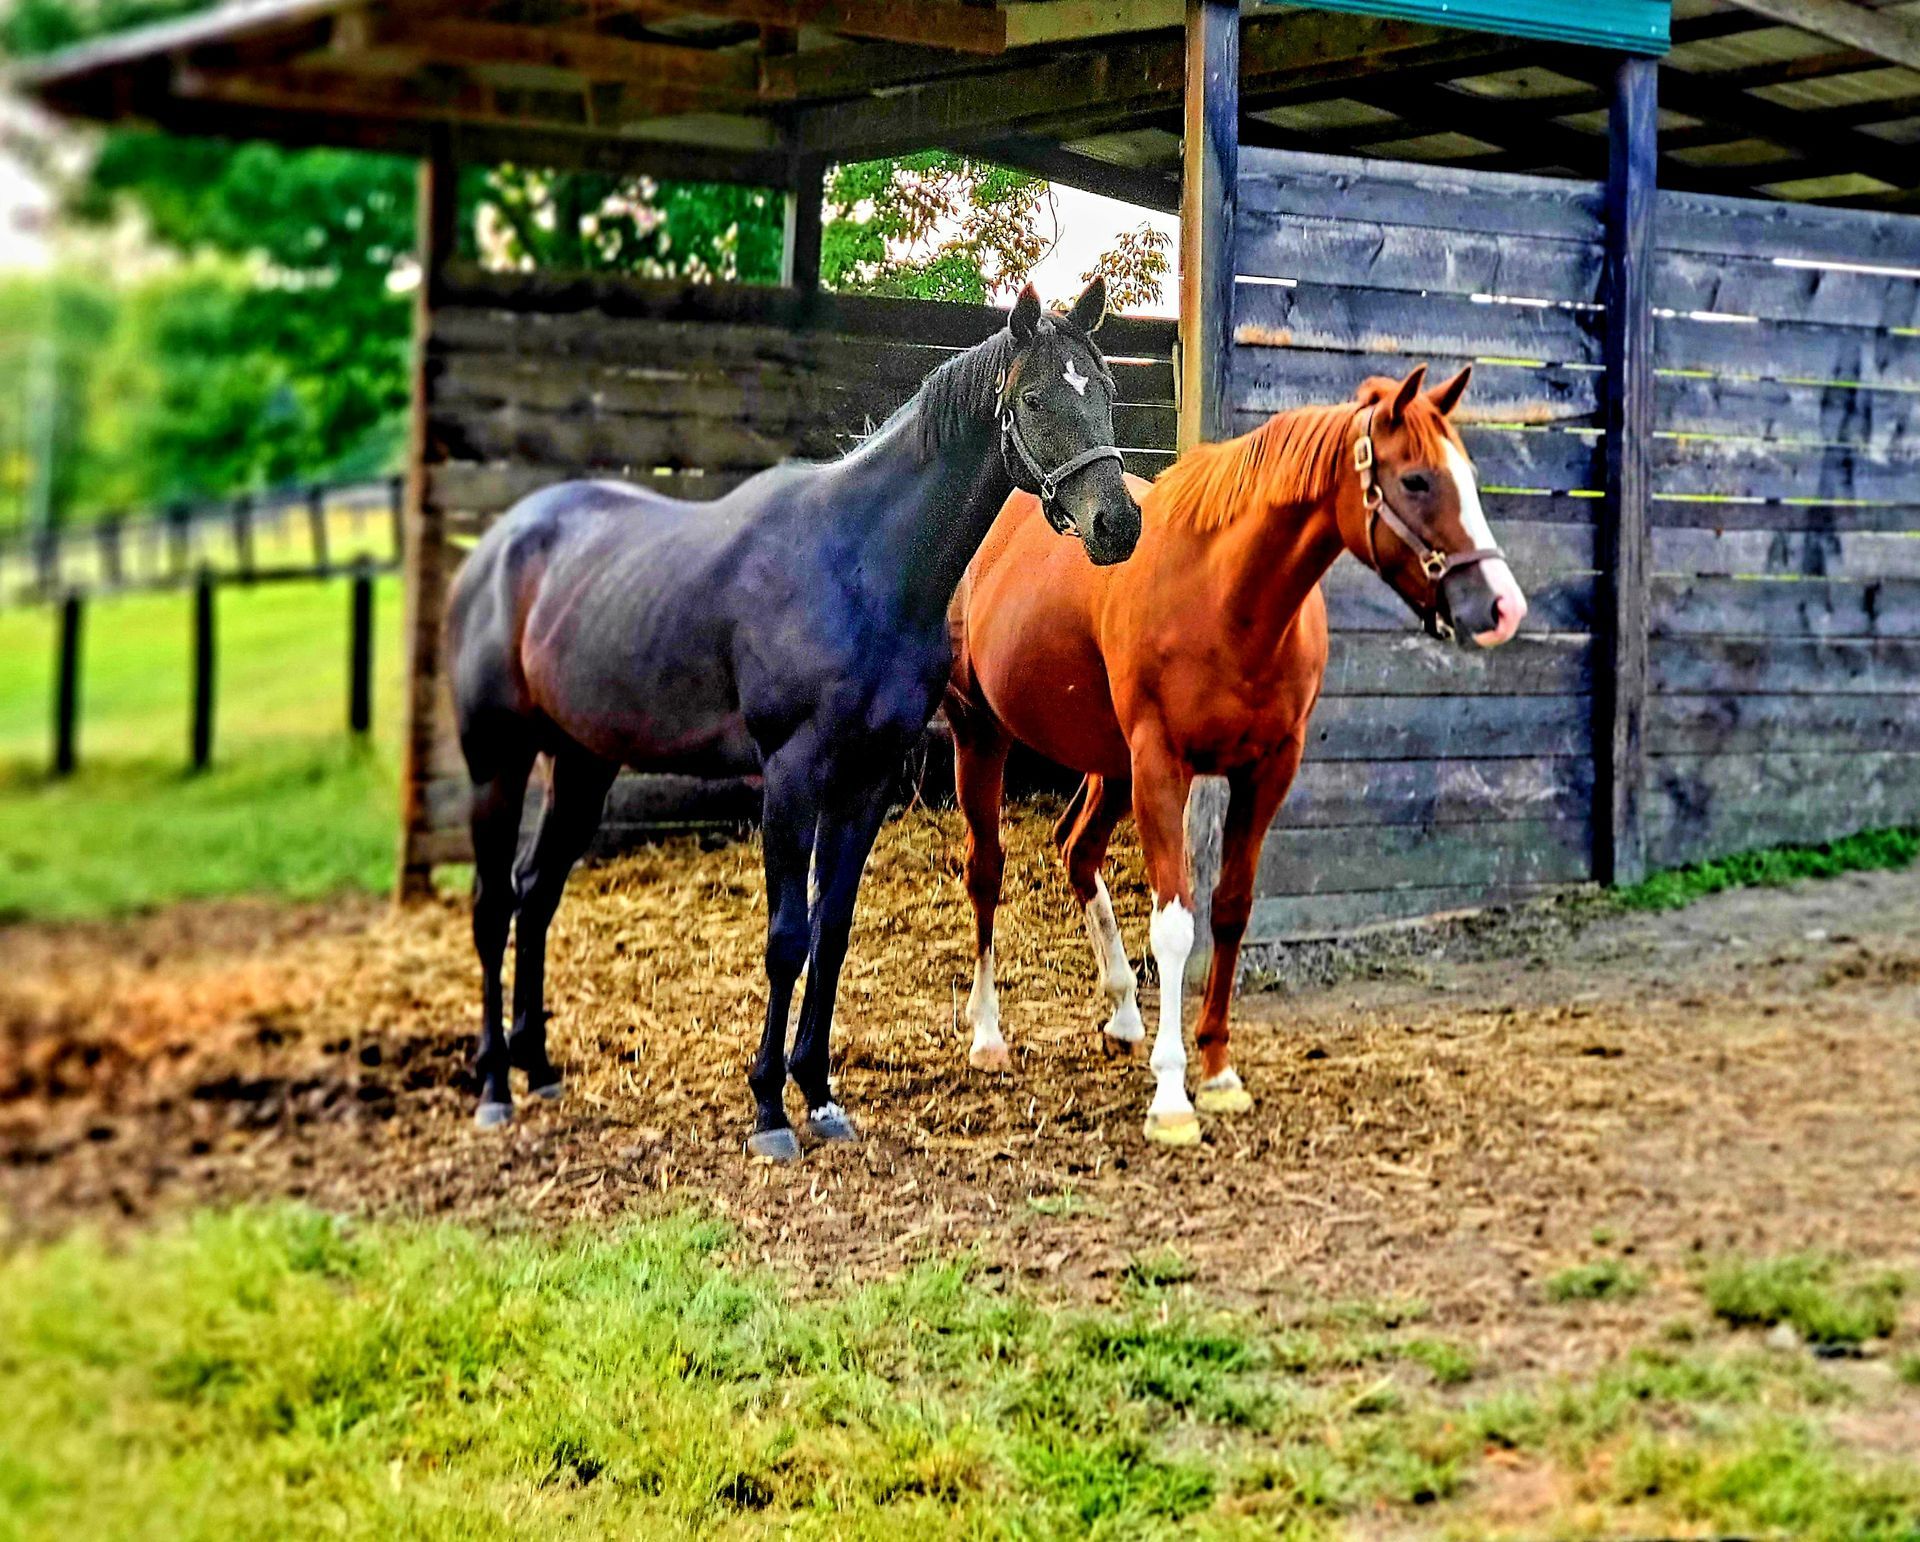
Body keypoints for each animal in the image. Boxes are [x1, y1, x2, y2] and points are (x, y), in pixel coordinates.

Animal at [449, 284, 1136, 1167]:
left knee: (536, 895)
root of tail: (498, 544)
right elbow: (785, 938)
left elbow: (830, 932)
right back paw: (496, 1088)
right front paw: (770, 1110)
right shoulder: (790, 776)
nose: (1118, 524)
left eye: (1106, 390)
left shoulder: (866, 782)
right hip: (497, 762)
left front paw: (820, 1094)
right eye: (1036, 399)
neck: (861, 565)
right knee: (493, 904)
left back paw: (538, 1069)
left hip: (582, 763)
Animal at [944, 368, 1528, 1144]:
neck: (1224, 596)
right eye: (1416, 479)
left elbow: (1230, 910)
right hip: (981, 732)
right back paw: (987, 1034)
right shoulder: (1163, 766)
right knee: (986, 872)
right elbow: (1174, 925)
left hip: (1110, 765)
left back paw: (1123, 1014)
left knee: (1076, 850)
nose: (1501, 607)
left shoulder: (1266, 769)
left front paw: (1218, 1072)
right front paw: (1171, 1096)